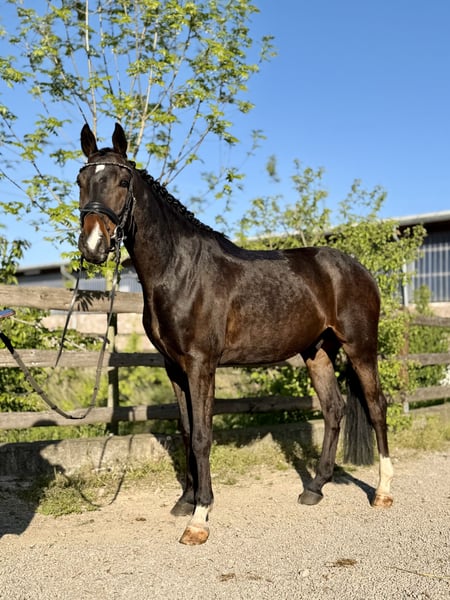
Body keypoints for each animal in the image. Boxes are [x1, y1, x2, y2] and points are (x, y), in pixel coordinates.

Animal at [77, 123, 394, 545]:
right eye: (81, 181)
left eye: (123, 181)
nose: (93, 246)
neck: (180, 271)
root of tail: (358, 269)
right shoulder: (174, 367)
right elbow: (185, 430)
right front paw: (186, 500)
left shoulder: (201, 365)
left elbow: (202, 435)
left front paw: (199, 518)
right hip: (318, 352)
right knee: (334, 409)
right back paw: (314, 488)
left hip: (360, 347)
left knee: (376, 407)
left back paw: (384, 492)